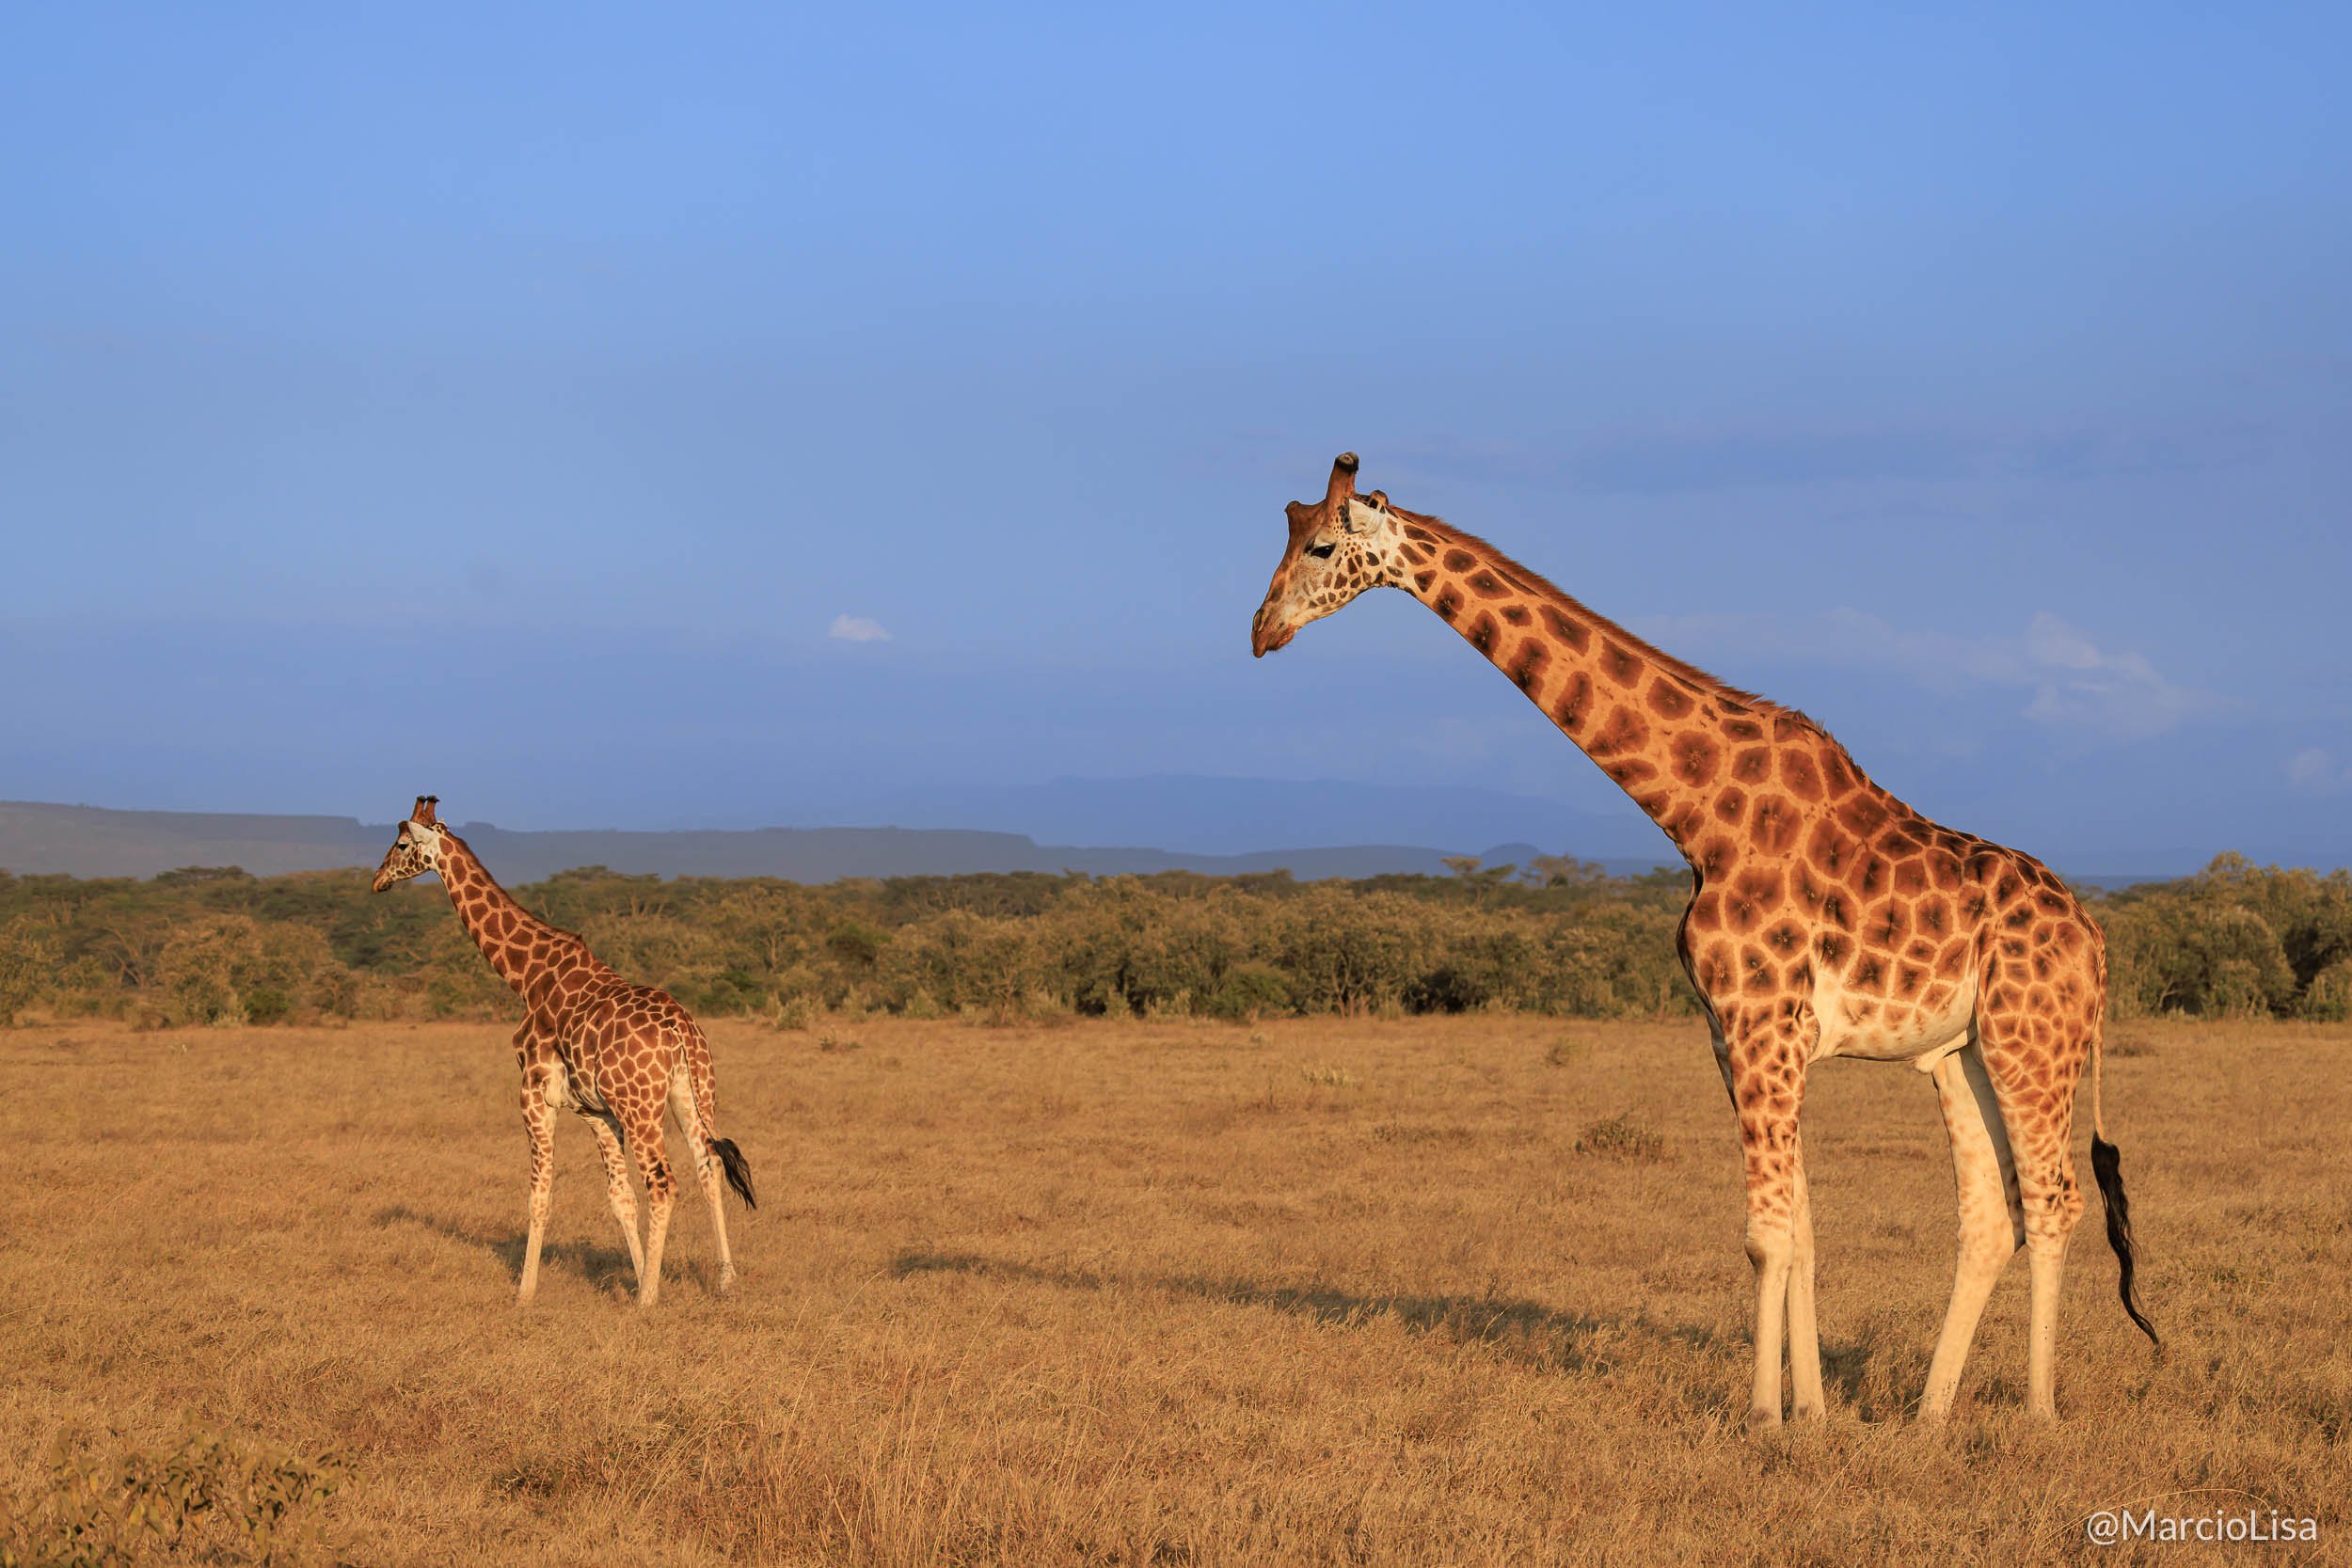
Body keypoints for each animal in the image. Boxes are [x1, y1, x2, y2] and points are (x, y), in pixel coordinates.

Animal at [371, 796, 756, 1309]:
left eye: (400, 844)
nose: (377, 879)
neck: (528, 977)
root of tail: (680, 1029)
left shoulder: (534, 1094)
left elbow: (540, 1193)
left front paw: (525, 1291)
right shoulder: (595, 1111)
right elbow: (619, 1196)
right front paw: (636, 1272)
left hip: (641, 1106)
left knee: (663, 1183)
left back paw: (647, 1300)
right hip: (692, 1093)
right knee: (708, 1164)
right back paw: (725, 1280)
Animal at [1251, 454, 2157, 1425]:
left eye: (1322, 545)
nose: (1262, 630)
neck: (1696, 816)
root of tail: (2096, 939)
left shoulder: (1763, 1022)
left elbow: (1766, 1234)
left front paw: (1762, 1414)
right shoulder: (1734, 1032)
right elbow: (1799, 1228)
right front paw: (1813, 1413)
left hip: (2034, 1041)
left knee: (2056, 1200)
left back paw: (2038, 1412)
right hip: (1963, 1051)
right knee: (1993, 1212)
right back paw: (1928, 1416)